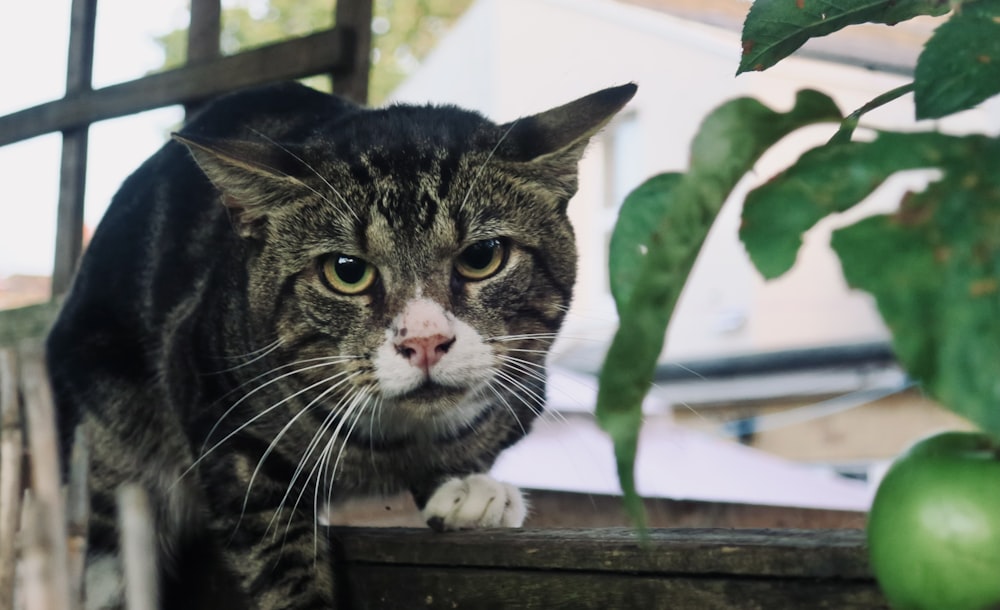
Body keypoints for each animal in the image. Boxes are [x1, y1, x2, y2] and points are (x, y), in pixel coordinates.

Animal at [45, 82, 632, 608]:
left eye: (482, 256)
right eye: (346, 271)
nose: (425, 340)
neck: (388, 445)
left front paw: (467, 485)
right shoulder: (212, 399)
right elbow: (274, 544)